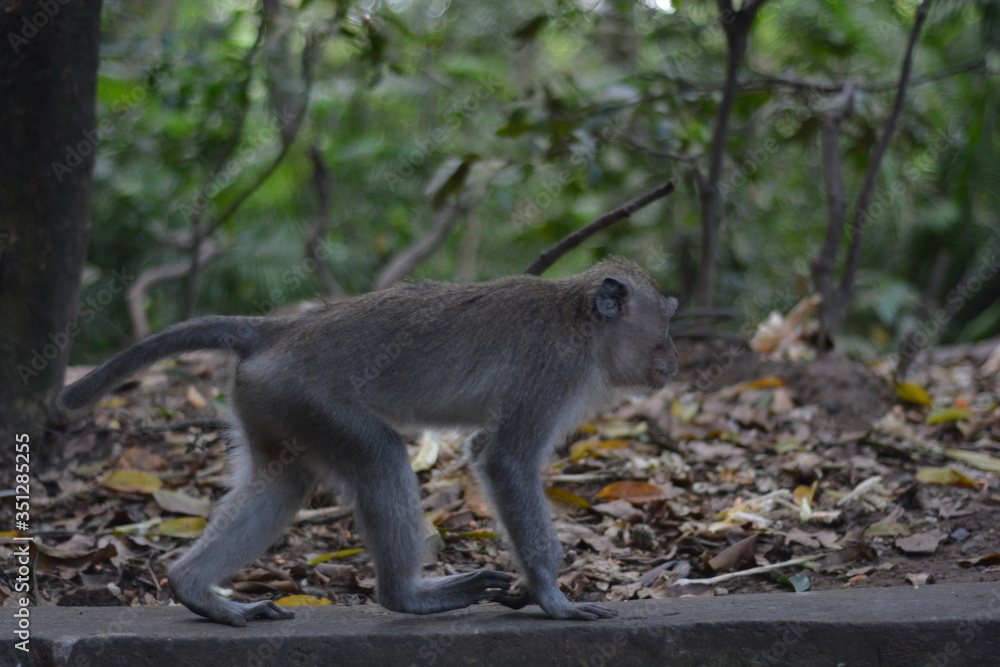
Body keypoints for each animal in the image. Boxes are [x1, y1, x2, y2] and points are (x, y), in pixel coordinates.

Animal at [56, 258, 680, 628]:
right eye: (665, 327)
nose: (674, 355)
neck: (578, 319)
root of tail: (278, 330)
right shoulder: (552, 372)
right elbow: (503, 458)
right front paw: (551, 597)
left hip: (273, 401)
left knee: (285, 481)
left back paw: (196, 590)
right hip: (311, 395)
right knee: (380, 458)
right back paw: (409, 596)